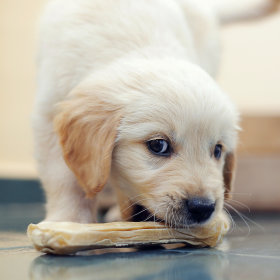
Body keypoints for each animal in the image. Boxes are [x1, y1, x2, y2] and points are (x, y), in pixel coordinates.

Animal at [32, 0, 278, 226]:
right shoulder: (49, 113)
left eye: (217, 150)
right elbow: (64, 178)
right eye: (159, 145)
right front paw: (68, 220)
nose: (203, 208)